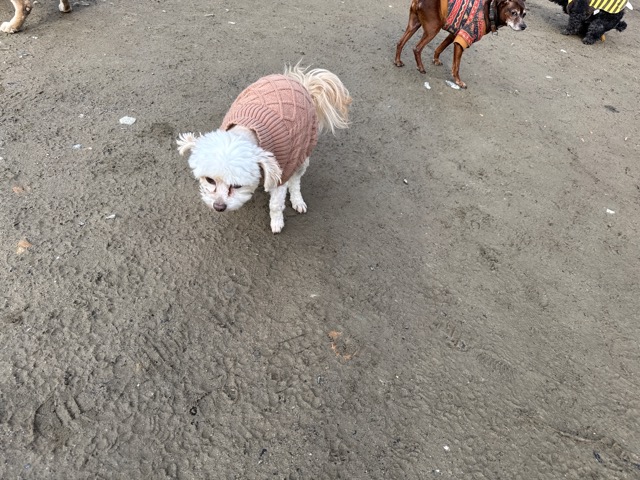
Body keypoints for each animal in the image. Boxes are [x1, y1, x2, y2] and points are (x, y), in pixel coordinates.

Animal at [177, 65, 351, 234]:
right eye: (210, 180)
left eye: (237, 185)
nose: (219, 207)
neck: (247, 130)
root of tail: (298, 82)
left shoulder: (282, 172)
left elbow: (276, 204)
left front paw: (277, 222)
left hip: (303, 152)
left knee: (296, 180)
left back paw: (297, 199)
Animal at [394, 0, 527, 88]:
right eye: (514, 13)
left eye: (524, 14)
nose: (524, 26)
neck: (490, 9)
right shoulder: (463, 39)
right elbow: (456, 66)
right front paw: (458, 82)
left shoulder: (454, 35)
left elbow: (440, 48)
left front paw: (436, 60)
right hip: (433, 29)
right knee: (417, 48)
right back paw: (421, 68)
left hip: (414, 24)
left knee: (400, 42)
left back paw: (397, 61)